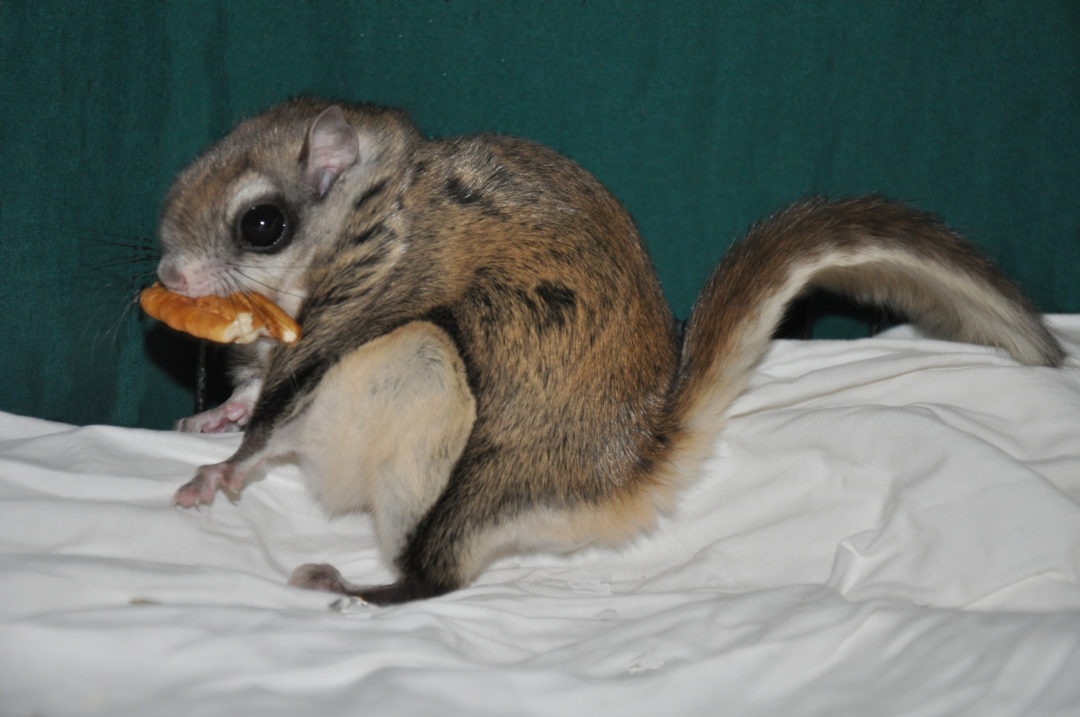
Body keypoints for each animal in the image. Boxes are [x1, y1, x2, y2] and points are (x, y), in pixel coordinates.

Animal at [156, 96, 1067, 604]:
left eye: (262, 223)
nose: (166, 272)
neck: (377, 198)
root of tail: (618, 472)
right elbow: (251, 397)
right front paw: (212, 417)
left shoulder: (370, 294)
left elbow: (276, 415)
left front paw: (221, 470)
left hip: (432, 392)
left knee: (437, 574)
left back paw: (353, 587)